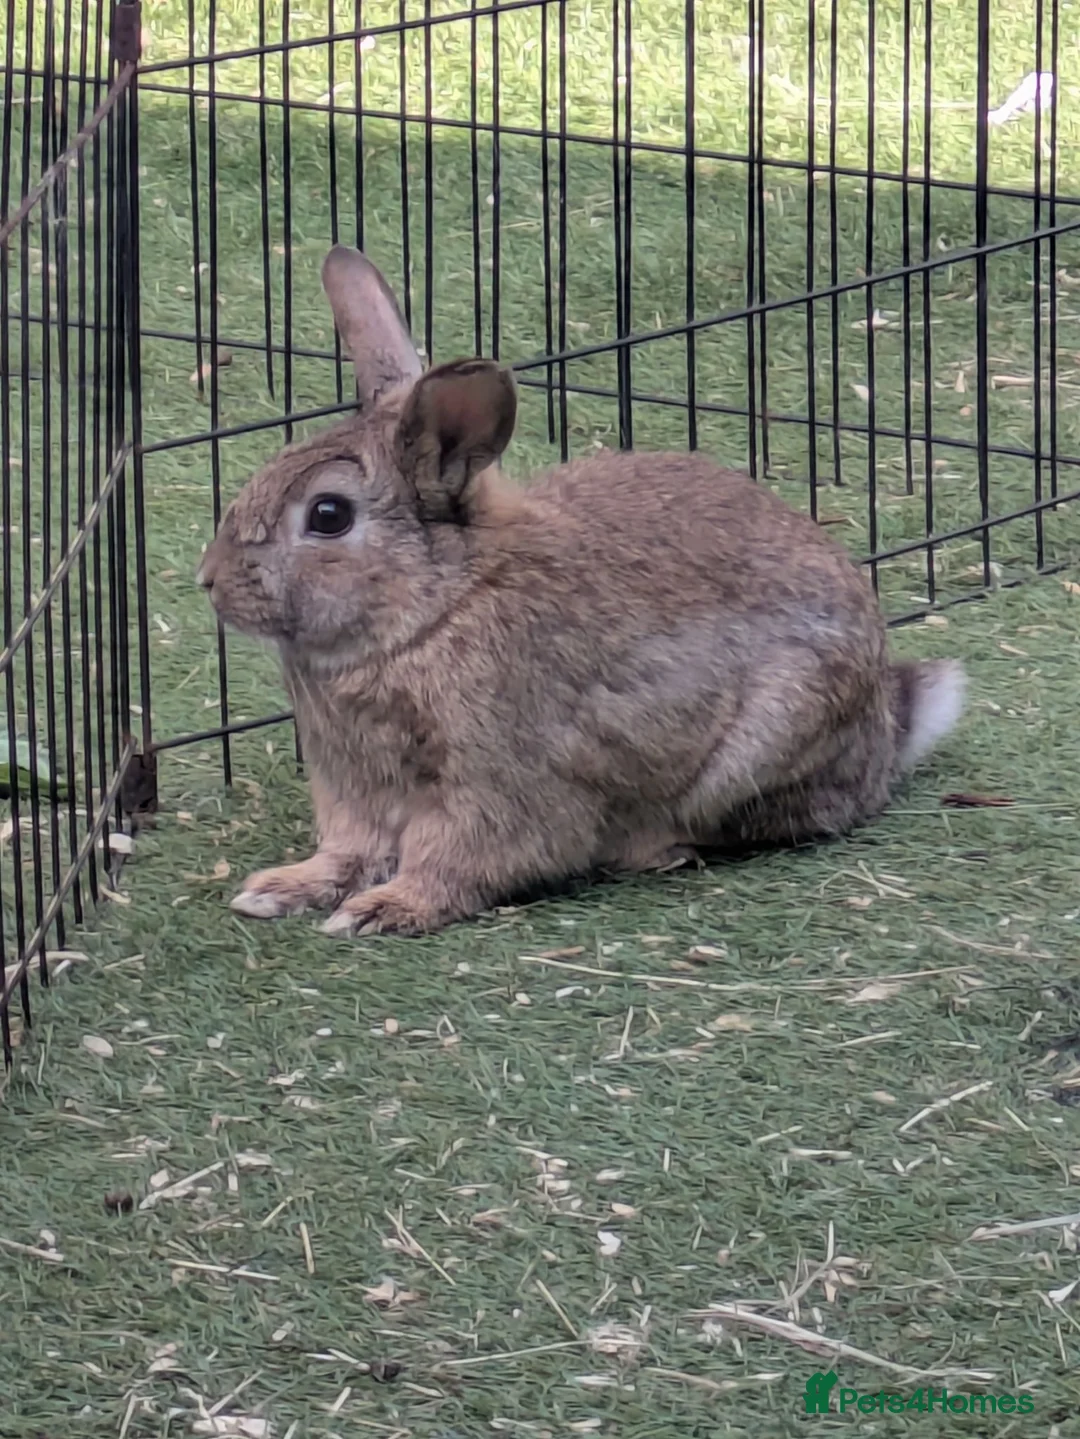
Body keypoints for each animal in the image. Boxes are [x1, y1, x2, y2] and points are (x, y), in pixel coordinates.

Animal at [196, 244, 966, 937]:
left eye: (328, 516)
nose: (211, 582)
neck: (435, 607)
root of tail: (887, 727)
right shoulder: (353, 787)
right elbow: (348, 851)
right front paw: (281, 890)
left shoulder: (496, 783)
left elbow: (457, 859)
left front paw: (384, 910)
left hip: (761, 746)